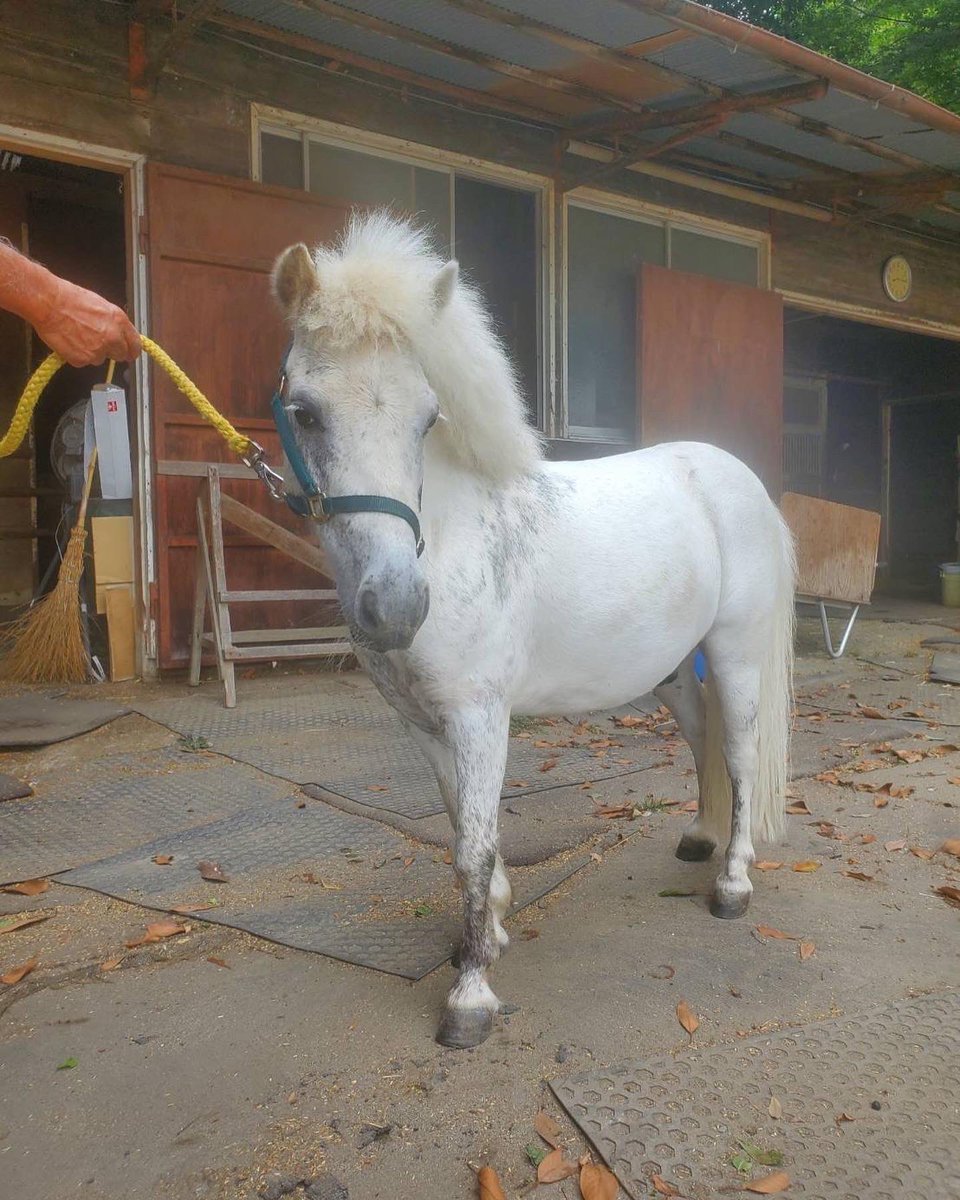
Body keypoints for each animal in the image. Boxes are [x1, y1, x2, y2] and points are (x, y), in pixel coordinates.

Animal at [270, 212, 796, 1049]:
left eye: (427, 417)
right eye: (306, 411)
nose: (396, 607)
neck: (448, 539)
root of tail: (736, 478)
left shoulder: (481, 718)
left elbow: (477, 846)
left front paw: (471, 997)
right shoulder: (423, 724)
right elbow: (460, 832)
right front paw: (487, 932)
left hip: (737, 655)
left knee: (741, 758)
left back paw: (733, 882)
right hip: (674, 674)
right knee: (704, 741)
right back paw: (699, 840)